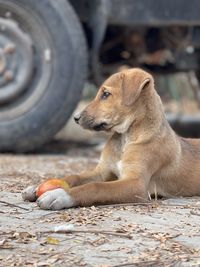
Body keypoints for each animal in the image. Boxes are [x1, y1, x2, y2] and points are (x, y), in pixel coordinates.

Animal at [22, 68, 200, 210]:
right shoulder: (102, 171)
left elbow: (95, 187)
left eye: (106, 94)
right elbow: (76, 176)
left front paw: (60, 195)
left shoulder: (136, 184)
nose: (76, 118)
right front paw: (38, 186)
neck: (126, 138)